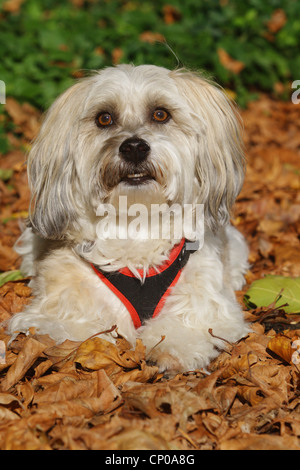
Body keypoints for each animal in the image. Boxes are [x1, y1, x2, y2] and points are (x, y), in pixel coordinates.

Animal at [7, 65, 251, 374]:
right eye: (104, 118)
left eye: (160, 114)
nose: (134, 147)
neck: (136, 222)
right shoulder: (64, 305)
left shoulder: (206, 304)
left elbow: (189, 325)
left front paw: (170, 349)